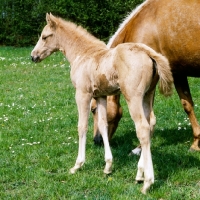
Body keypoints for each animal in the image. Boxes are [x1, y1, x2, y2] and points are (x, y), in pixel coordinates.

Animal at [31, 12, 173, 194]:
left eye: (44, 36)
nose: (33, 56)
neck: (83, 53)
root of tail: (148, 53)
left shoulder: (82, 94)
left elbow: (82, 126)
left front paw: (77, 165)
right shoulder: (101, 96)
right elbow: (103, 125)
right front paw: (108, 166)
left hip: (133, 97)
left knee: (142, 128)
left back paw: (148, 182)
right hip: (147, 95)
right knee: (149, 124)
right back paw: (139, 174)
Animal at [93, 0, 200, 151]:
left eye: (93, 109)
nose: (96, 140)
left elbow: (146, 114)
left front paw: (139, 147)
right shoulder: (178, 73)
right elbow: (187, 105)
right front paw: (196, 142)